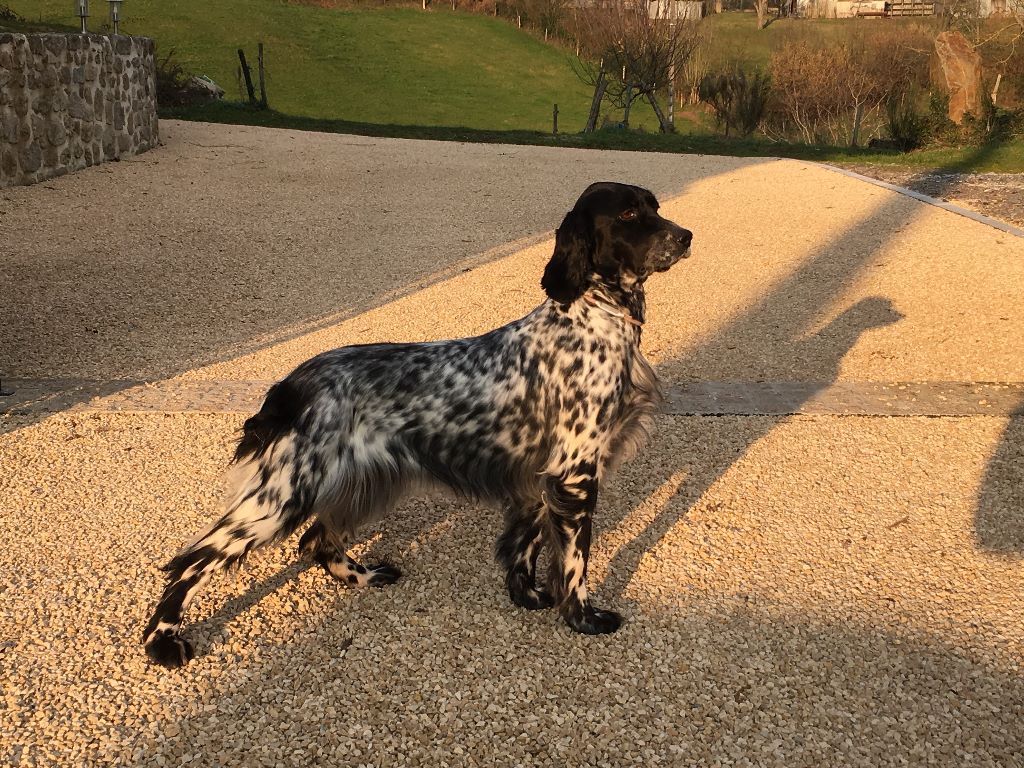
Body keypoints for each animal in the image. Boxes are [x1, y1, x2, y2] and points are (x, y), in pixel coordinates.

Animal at [142, 183, 688, 671]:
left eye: (654, 206)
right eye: (628, 214)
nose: (686, 236)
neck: (592, 317)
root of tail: (292, 384)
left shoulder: (540, 474)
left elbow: (525, 544)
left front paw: (528, 596)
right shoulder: (575, 471)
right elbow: (574, 561)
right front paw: (583, 618)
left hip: (354, 482)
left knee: (315, 540)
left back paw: (362, 576)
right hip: (283, 495)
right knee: (192, 559)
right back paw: (162, 642)